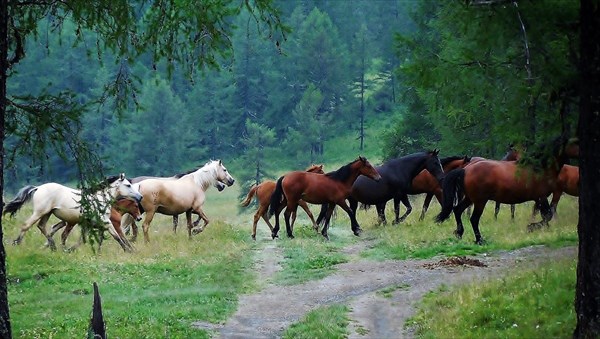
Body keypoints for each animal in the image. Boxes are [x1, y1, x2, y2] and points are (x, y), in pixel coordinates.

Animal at [3, 174, 142, 251]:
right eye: (128, 185)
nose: (140, 197)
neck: (99, 200)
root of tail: (38, 188)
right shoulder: (106, 222)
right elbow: (117, 236)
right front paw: (128, 250)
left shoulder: (92, 224)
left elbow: (85, 239)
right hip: (39, 212)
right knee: (27, 225)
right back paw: (17, 243)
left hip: (47, 213)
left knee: (42, 226)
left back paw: (53, 246)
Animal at [436, 138, 580, 244]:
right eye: (575, 143)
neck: (539, 167)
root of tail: (465, 169)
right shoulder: (542, 196)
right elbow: (547, 215)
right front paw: (532, 227)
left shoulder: (539, 198)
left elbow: (545, 215)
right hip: (480, 201)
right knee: (474, 219)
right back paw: (479, 240)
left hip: (470, 198)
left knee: (457, 210)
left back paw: (459, 233)